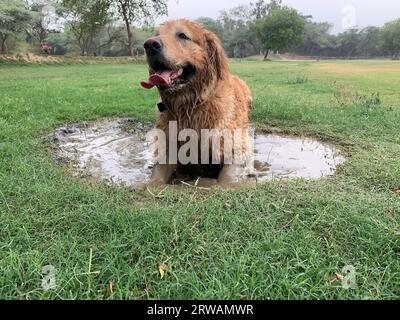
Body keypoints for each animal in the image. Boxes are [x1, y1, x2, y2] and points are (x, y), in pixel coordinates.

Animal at [141, 18, 252, 186]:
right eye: (157, 34)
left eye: (182, 35)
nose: (150, 45)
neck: (190, 106)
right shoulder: (170, 145)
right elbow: (158, 172)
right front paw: (150, 184)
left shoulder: (234, 146)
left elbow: (227, 175)